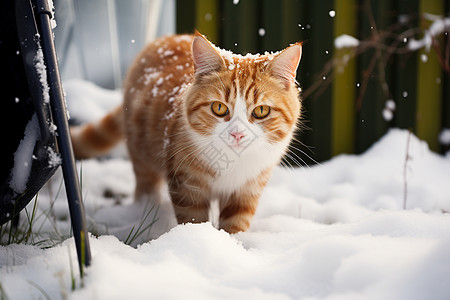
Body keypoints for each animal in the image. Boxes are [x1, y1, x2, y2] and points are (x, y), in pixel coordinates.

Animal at [71, 31, 302, 233]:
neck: (232, 161)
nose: (238, 134)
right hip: (142, 151)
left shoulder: (247, 190)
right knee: (145, 182)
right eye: (219, 108)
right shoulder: (187, 186)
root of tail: (166, 38)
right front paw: (196, 240)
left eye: (261, 111)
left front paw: (230, 246)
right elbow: (193, 220)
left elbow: (236, 224)